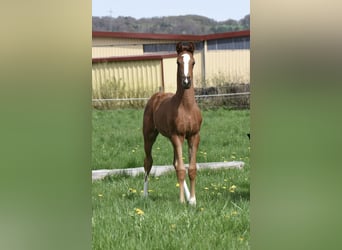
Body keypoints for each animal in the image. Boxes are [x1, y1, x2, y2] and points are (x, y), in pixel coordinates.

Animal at [143, 41, 202, 205]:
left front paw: (192, 200)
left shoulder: (194, 136)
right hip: (150, 136)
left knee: (175, 163)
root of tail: (156, 96)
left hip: (172, 138)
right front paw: (182, 201)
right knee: (148, 162)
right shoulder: (177, 136)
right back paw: (145, 195)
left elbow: (191, 168)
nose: (186, 82)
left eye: (193, 62)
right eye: (178, 62)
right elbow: (182, 169)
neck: (186, 107)